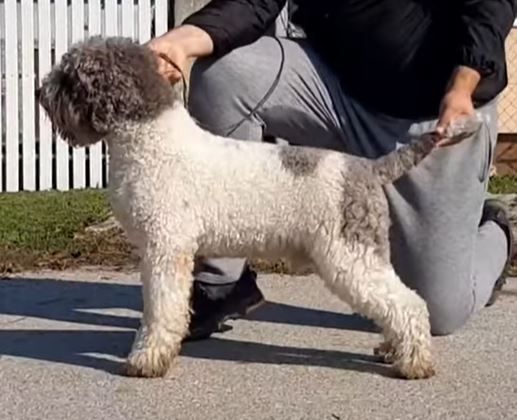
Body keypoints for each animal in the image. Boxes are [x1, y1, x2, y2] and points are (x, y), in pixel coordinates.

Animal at [38, 36, 482, 380]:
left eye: (69, 76)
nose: (41, 93)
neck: (152, 142)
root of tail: (369, 167)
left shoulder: (165, 250)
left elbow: (161, 311)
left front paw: (146, 360)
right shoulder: (165, 251)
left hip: (349, 256)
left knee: (409, 304)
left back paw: (414, 363)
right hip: (363, 255)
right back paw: (392, 349)